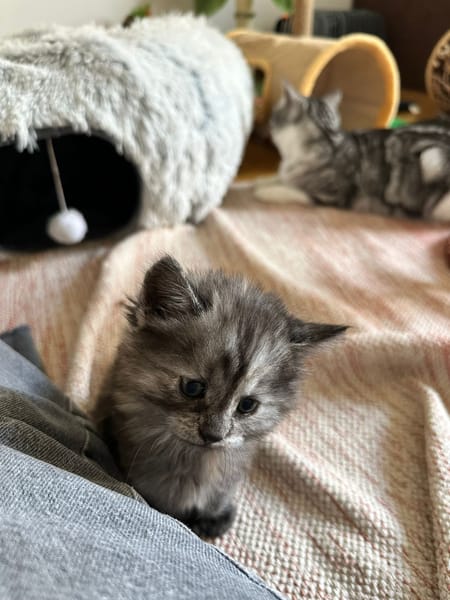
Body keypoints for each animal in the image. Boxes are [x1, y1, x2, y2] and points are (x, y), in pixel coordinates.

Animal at [254, 82, 450, 221]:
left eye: (273, 117)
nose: (266, 127)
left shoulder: (332, 197)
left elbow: (295, 192)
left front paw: (266, 191)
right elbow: (275, 177)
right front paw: (261, 182)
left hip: (431, 167)